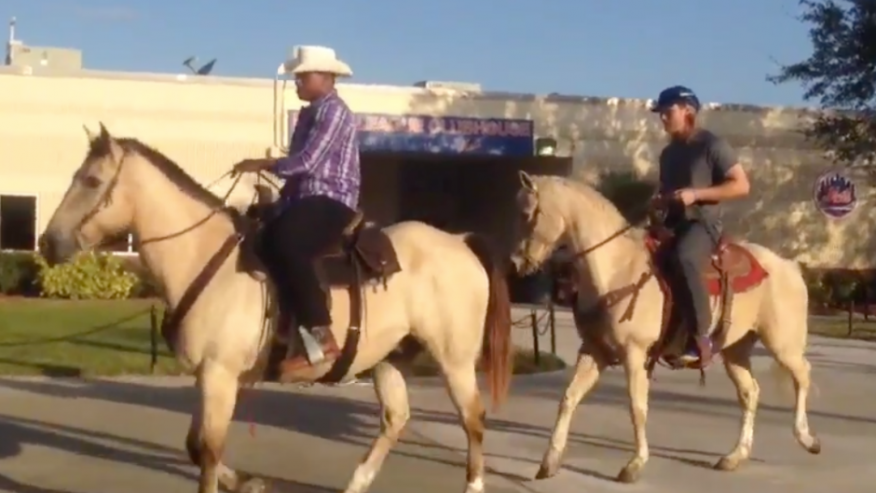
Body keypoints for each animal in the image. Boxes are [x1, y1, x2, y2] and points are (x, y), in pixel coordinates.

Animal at [41, 125, 516, 492]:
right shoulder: (207, 375)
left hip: (454, 359)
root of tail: (459, 241)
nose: (48, 243)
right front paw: (246, 481)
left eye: (91, 180)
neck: (204, 256)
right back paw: (357, 482)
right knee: (395, 419)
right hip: (389, 358)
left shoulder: (219, 374)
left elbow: (208, 451)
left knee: (472, 419)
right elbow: (196, 446)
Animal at [510, 173, 816, 484]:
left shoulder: (634, 353)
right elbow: (569, 398)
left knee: (802, 375)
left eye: (527, 214)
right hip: (735, 350)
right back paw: (735, 456)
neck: (616, 268)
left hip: (782, 343)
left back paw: (806, 438)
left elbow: (637, 406)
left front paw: (634, 464)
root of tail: (789, 266)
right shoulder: (595, 350)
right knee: (749, 392)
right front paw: (549, 462)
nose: (515, 263)